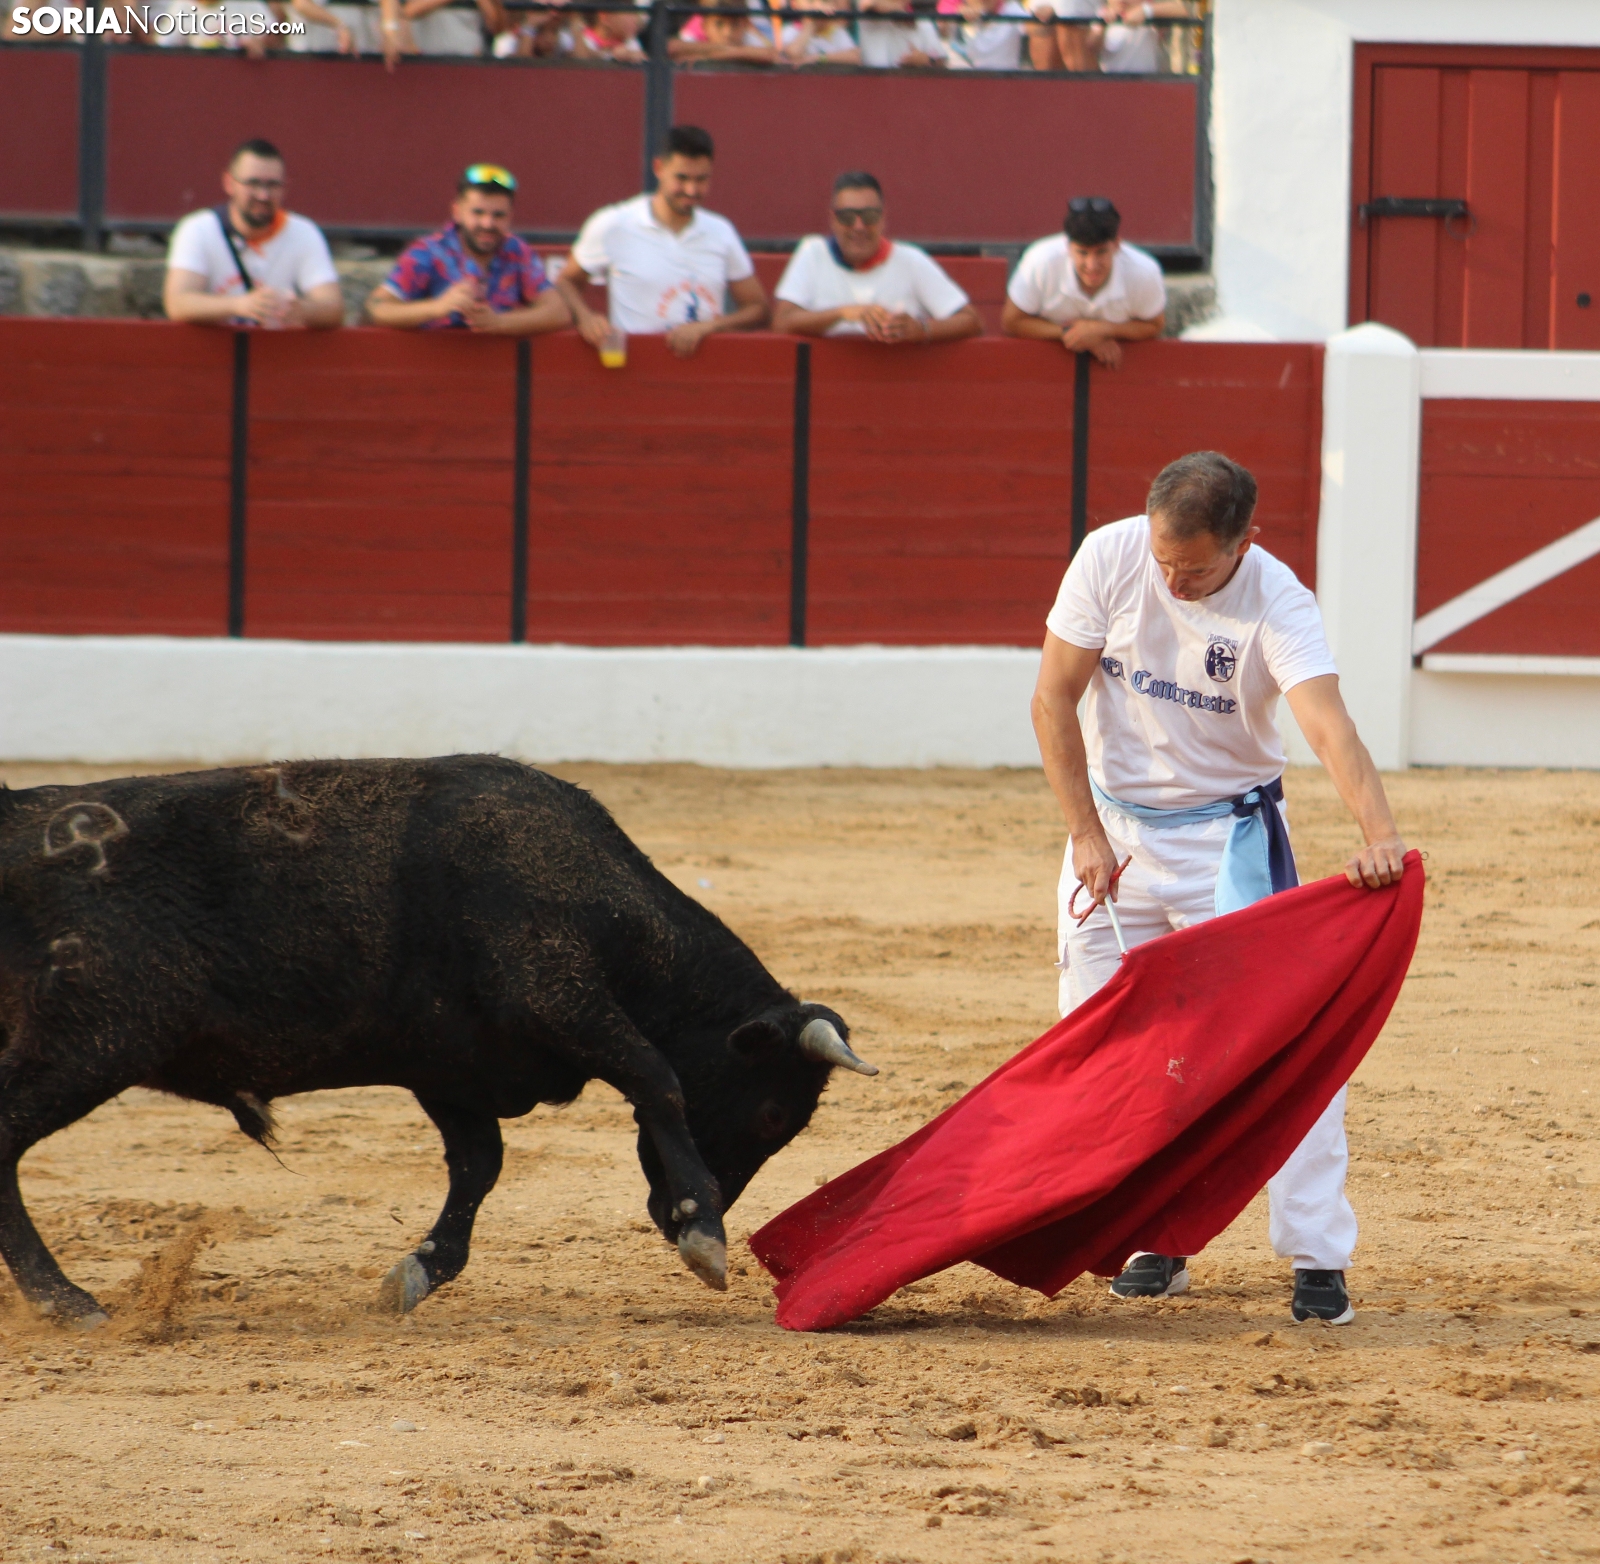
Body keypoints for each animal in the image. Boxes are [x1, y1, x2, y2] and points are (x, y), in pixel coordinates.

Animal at [0, 756, 875, 1328]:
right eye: (772, 1116)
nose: (666, 1214)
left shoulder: (450, 1067)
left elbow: (478, 1166)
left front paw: (417, 1272)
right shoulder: (559, 998)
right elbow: (655, 1076)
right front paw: (705, 1234)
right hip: (92, 1041)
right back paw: (64, 1301)